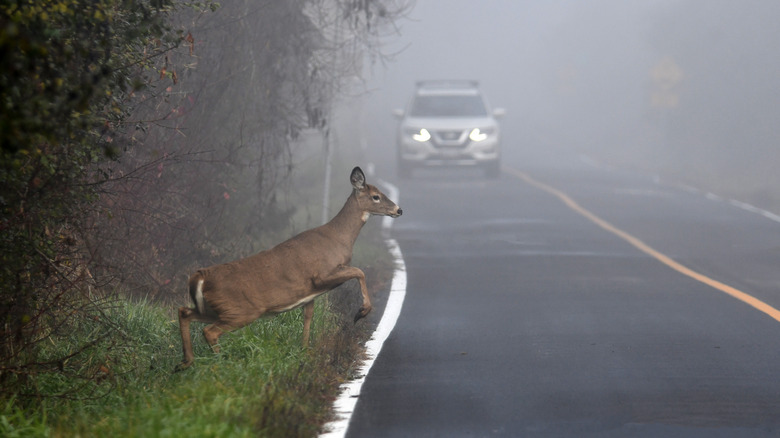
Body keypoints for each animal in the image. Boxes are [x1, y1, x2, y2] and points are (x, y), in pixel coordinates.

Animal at [176, 166, 402, 372]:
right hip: (241, 310)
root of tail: (200, 277)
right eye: (376, 196)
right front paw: (361, 312)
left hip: (216, 308)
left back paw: (186, 363)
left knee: (185, 312)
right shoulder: (321, 274)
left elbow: (308, 318)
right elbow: (359, 271)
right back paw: (220, 364)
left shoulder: (311, 293)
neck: (339, 238)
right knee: (209, 331)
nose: (399, 210)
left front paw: (304, 352)